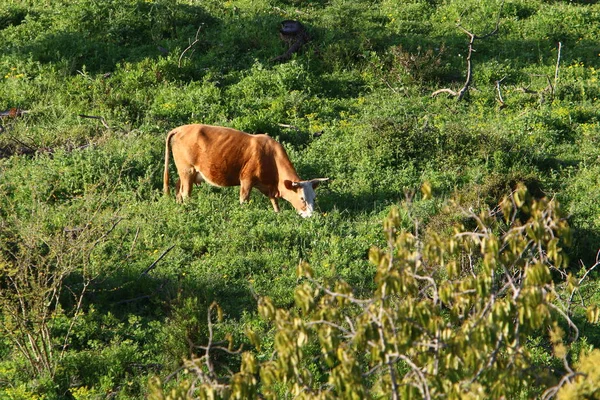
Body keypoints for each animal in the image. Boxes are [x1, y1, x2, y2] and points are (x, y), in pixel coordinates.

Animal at [163, 125, 328, 219]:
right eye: (302, 198)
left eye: (314, 198)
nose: (312, 216)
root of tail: (180, 128)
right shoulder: (246, 180)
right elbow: (244, 201)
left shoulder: (269, 187)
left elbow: (275, 202)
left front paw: (278, 215)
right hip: (187, 170)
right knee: (186, 194)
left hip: (185, 172)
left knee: (178, 190)